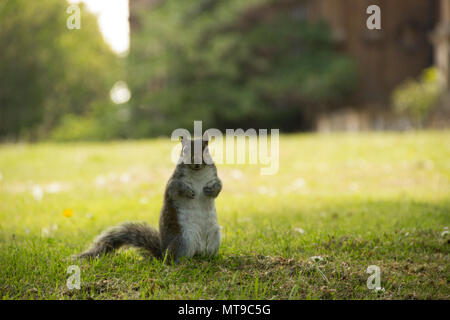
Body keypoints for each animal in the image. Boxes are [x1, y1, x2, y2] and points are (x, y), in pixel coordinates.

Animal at [78, 135, 224, 262]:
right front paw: (188, 191)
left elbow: (219, 185)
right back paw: (183, 263)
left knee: (204, 254)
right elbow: (175, 187)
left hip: (215, 236)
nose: (196, 161)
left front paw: (211, 190)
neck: (197, 172)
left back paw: (210, 258)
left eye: (206, 149)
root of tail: (163, 253)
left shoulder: (214, 177)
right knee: (174, 260)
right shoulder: (174, 181)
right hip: (184, 240)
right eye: (184, 150)